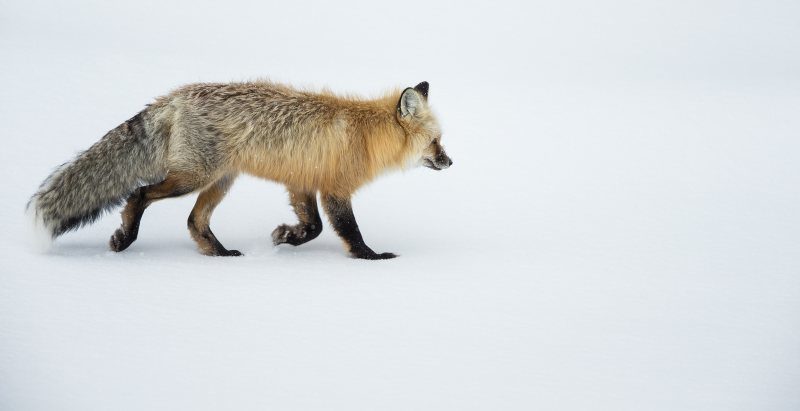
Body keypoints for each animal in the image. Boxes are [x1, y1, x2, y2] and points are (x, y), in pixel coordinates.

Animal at [27, 80, 452, 259]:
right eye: (435, 142)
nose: (450, 162)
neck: (365, 134)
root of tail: (174, 97)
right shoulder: (334, 190)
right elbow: (349, 231)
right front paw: (371, 258)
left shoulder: (302, 183)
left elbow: (313, 228)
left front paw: (286, 237)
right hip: (193, 178)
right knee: (139, 194)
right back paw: (126, 238)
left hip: (220, 181)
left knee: (194, 221)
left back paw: (219, 253)